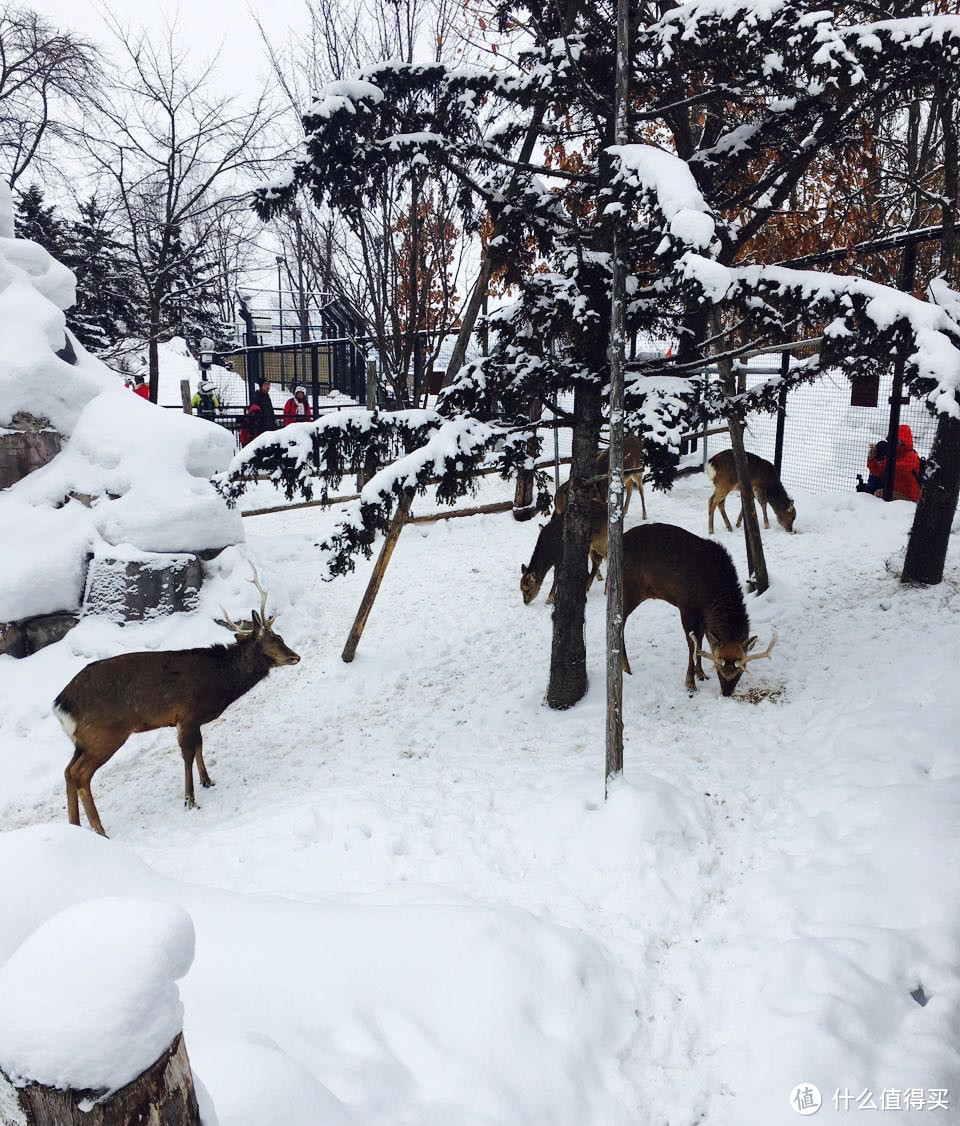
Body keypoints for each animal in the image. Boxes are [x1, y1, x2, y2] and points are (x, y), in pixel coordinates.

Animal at [53, 572, 299, 837]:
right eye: (276, 638)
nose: (295, 656)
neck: (221, 681)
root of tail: (60, 704)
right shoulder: (188, 714)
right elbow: (188, 754)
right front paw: (190, 800)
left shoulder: (193, 719)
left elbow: (200, 746)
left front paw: (207, 781)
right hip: (104, 734)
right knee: (80, 774)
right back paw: (99, 829)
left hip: (82, 741)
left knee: (68, 772)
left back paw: (75, 826)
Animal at [616, 520, 774, 693]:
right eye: (718, 666)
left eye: (741, 670)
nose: (726, 692)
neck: (710, 596)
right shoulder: (686, 606)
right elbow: (693, 643)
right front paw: (690, 683)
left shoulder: (703, 615)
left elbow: (701, 639)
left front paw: (701, 673)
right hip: (629, 590)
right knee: (619, 623)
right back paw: (626, 667)